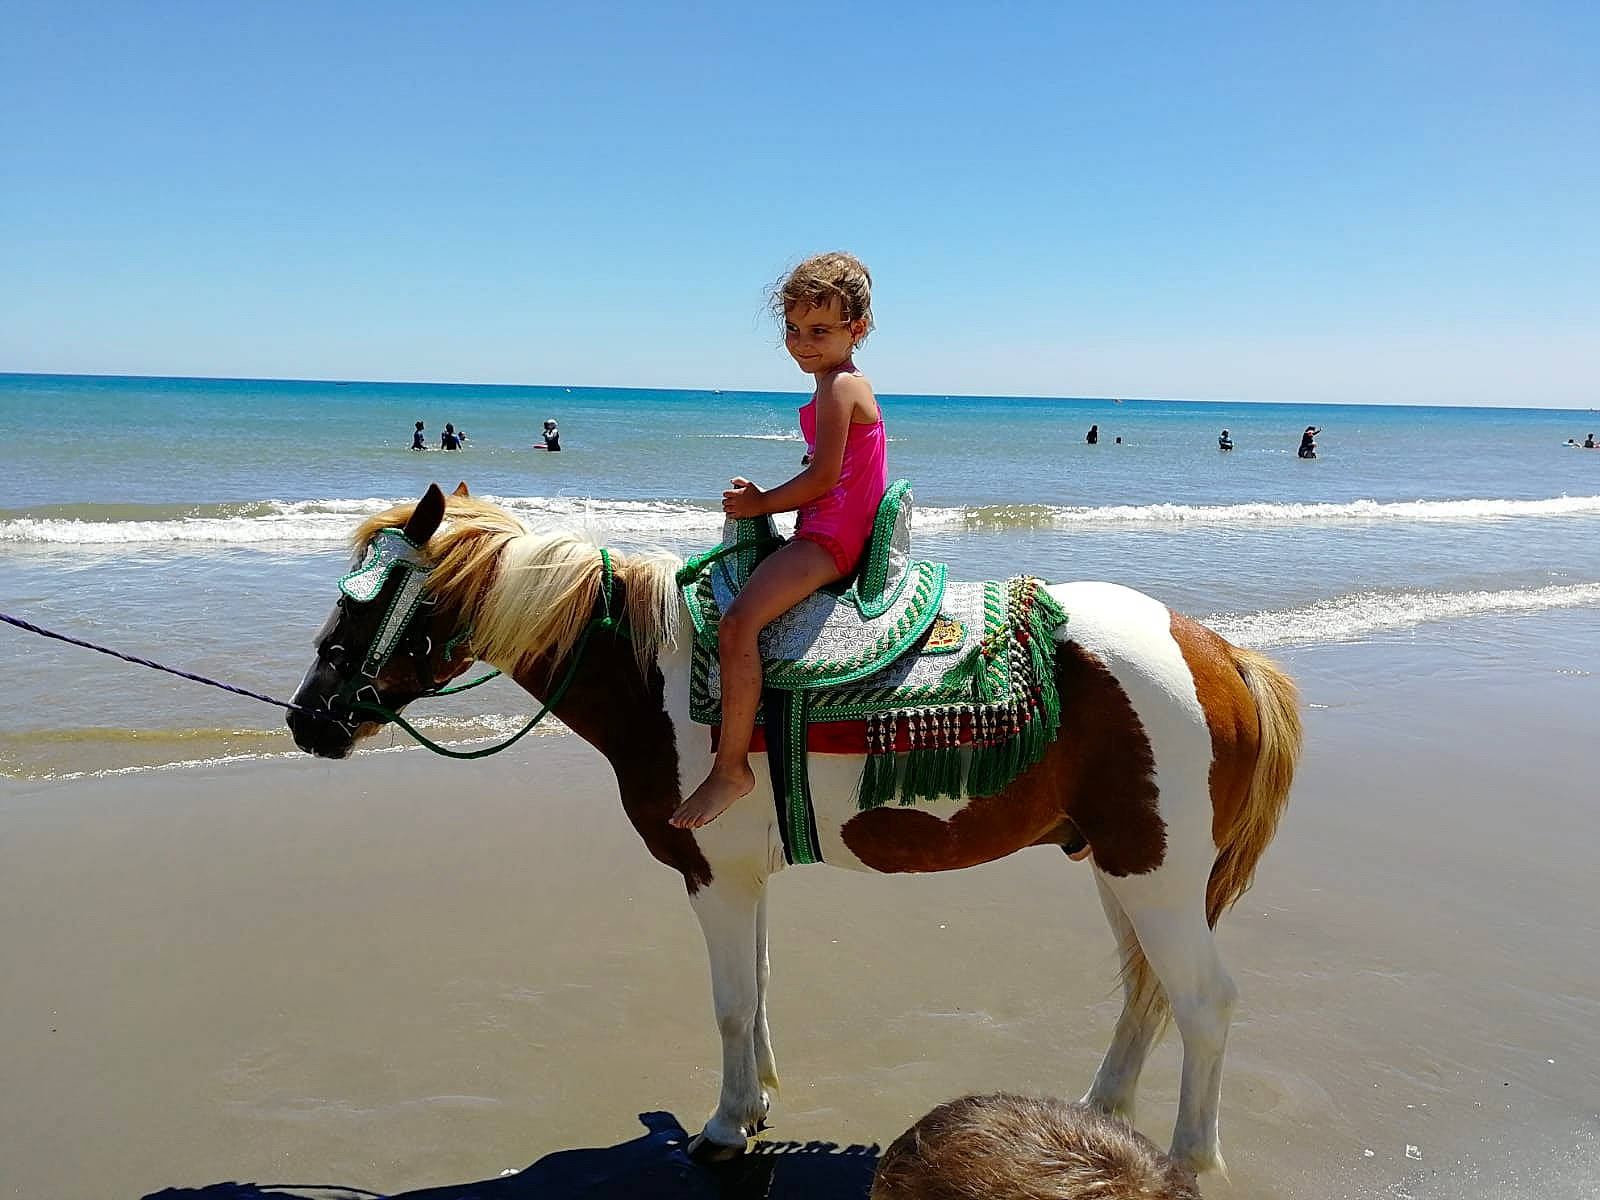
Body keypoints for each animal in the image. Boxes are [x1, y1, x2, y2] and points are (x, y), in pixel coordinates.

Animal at [286, 483, 1302, 1175]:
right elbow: (762, 985)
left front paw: (725, 1126)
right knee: (1146, 996)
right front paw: (761, 1100)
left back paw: (1188, 1162)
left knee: (1204, 1004)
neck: (653, 675)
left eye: (370, 599)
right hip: (1123, 869)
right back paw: (1101, 1118)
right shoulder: (745, 874)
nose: (310, 720)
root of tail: (1220, 652)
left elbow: (732, 1002)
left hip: (1155, 876)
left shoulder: (713, 875)